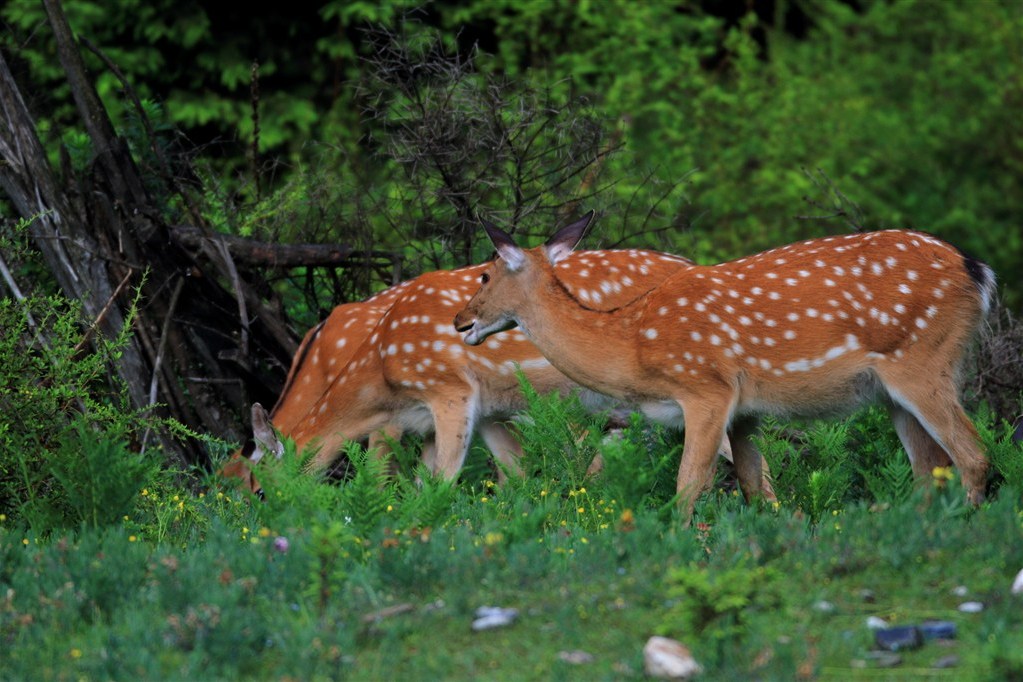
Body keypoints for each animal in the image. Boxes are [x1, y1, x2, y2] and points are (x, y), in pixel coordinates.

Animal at [454, 213, 990, 523]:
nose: (461, 322)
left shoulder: (706, 389)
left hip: (924, 360)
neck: (633, 346)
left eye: (485, 274)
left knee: (972, 454)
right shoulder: (745, 411)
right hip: (893, 389)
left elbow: (689, 485)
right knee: (928, 467)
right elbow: (756, 487)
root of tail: (977, 272)